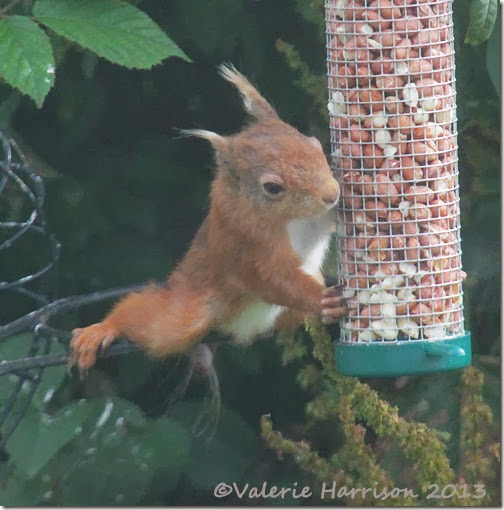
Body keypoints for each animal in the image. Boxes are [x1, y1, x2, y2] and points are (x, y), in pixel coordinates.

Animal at [70, 65, 346, 372]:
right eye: (273, 188)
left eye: (315, 145)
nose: (332, 193)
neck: (292, 219)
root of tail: (242, 329)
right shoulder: (242, 236)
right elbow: (272, 278)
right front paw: (322, 301)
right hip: (188, 310)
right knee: (150, 321)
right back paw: (101, 329)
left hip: (290, 314)